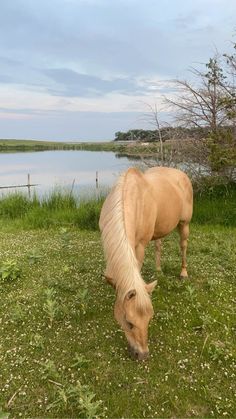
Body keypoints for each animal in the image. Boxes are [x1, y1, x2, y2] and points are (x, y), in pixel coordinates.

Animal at [98, 167, 193, 360]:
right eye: (129, 322)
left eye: (149, 319)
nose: (142, 355)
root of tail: (181, 174)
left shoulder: (140, 245)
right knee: (158, 245)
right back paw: (158, 270)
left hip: (184, 223)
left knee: (183, 246)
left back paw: (183, 273)